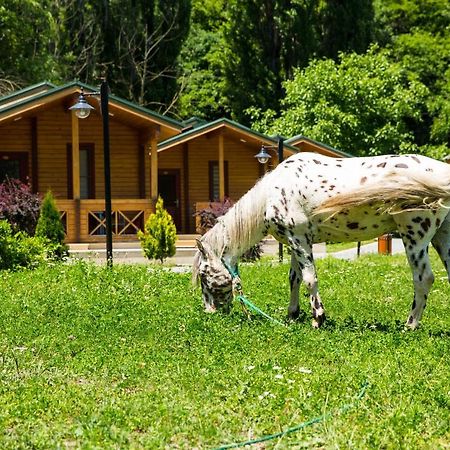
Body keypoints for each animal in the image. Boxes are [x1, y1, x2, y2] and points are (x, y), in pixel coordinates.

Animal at [192, 153, 450, 328]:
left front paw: (318, 318)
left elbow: (309, 279)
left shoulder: (300, 241)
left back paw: (410, 325)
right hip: (441, 237)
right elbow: (294, 278)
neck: (272, 193)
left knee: (423, 279)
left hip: (415, 236)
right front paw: (293, 314)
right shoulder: (295, 242)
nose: (209, 311)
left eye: (203, 274)